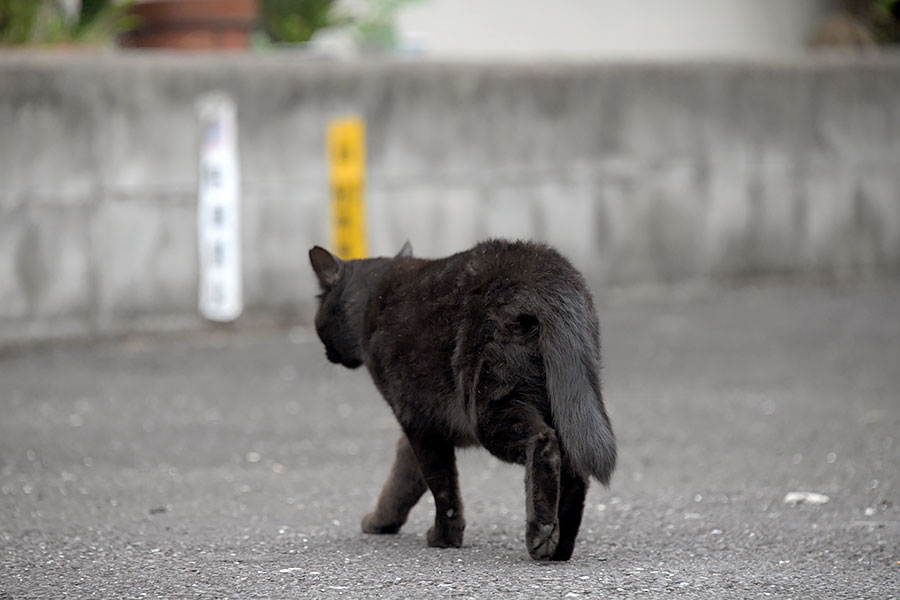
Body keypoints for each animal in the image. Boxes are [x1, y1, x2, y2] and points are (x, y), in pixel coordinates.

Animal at [312, 237, 620, 560]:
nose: (328, 354)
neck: (373, 299)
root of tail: (546, 274)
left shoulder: (419, 421)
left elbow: (441, 485)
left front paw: (444, 537)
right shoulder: (421, 427)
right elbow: (403, 478)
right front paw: (381, 520)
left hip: (489, 406)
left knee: (544, 443)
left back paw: (541, 533)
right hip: (568, 404)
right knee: (575, 467)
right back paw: (560, 546)